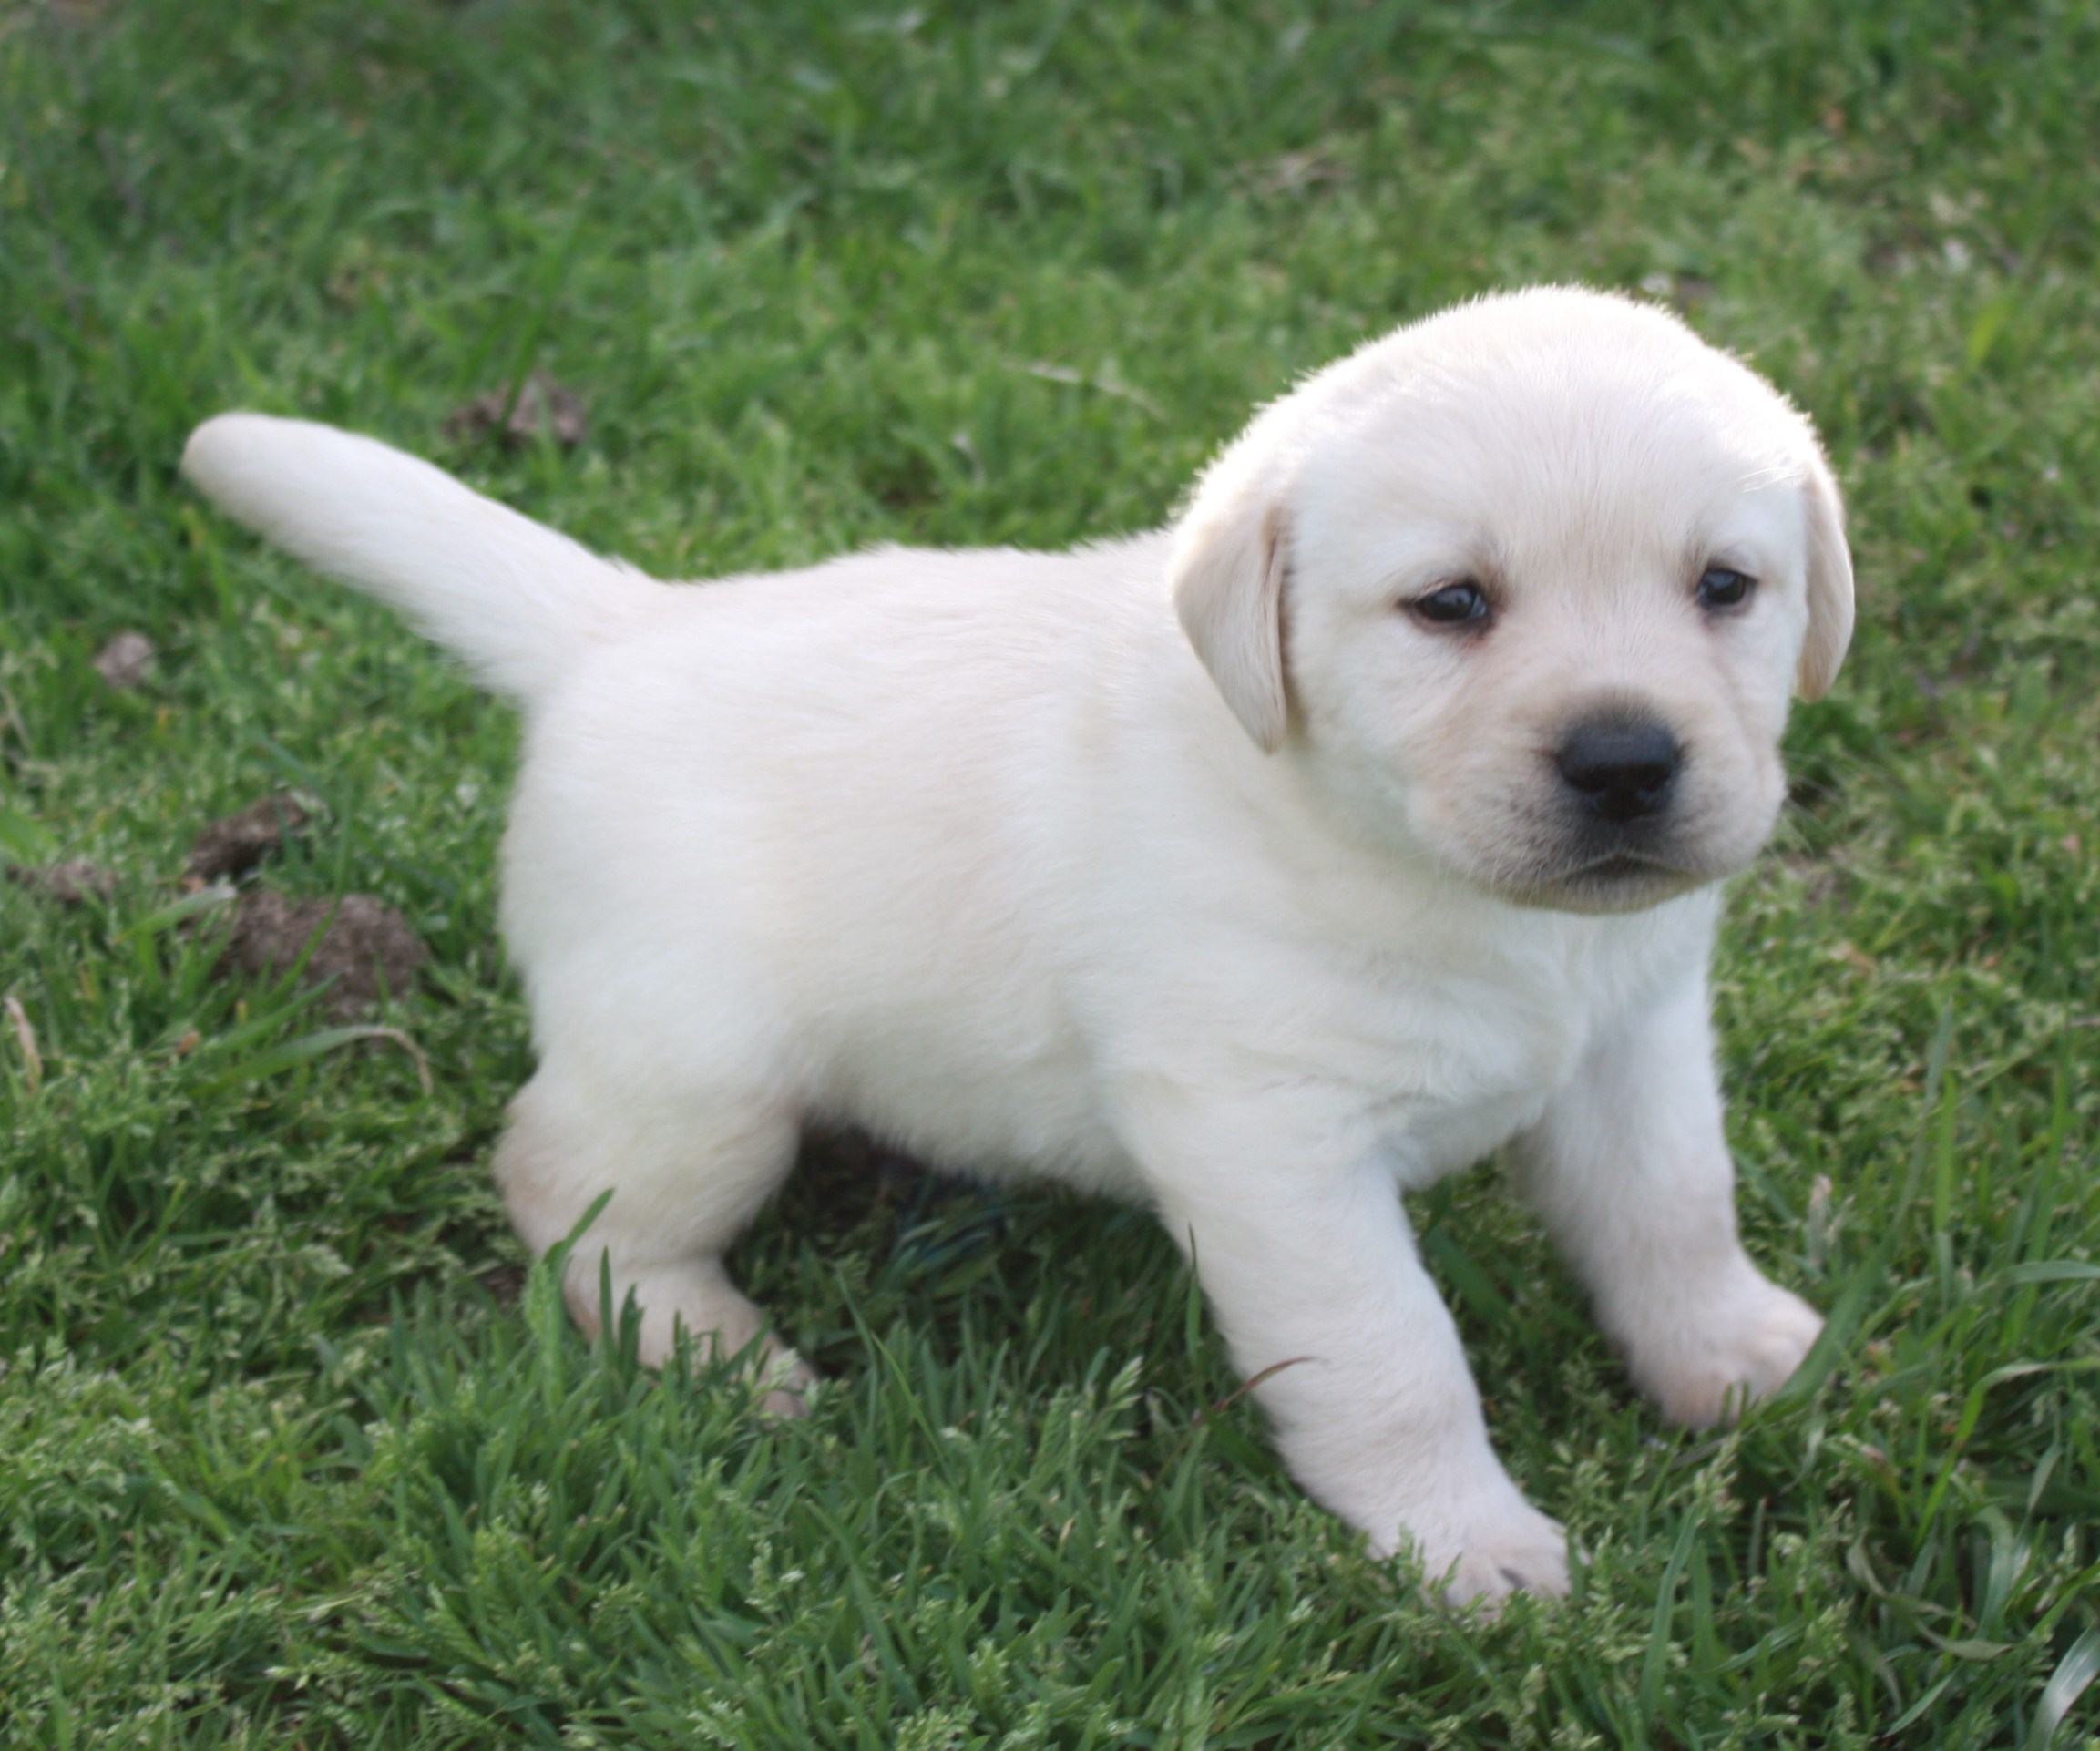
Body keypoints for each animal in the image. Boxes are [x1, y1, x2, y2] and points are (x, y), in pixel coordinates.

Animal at [184, 283, 1856, 1595]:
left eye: (1725, 586)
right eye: (1450, 604)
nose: (1627, 761)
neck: (1420, 866)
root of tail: (617, 631)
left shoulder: (1634, 1038)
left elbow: (1670, 1208)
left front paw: (1736, 1357)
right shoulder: (1270, 1141)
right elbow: (1394, 1357)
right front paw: (1464, 1545)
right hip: (698, 1081)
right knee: (565, 1186)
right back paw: (719, 1349)